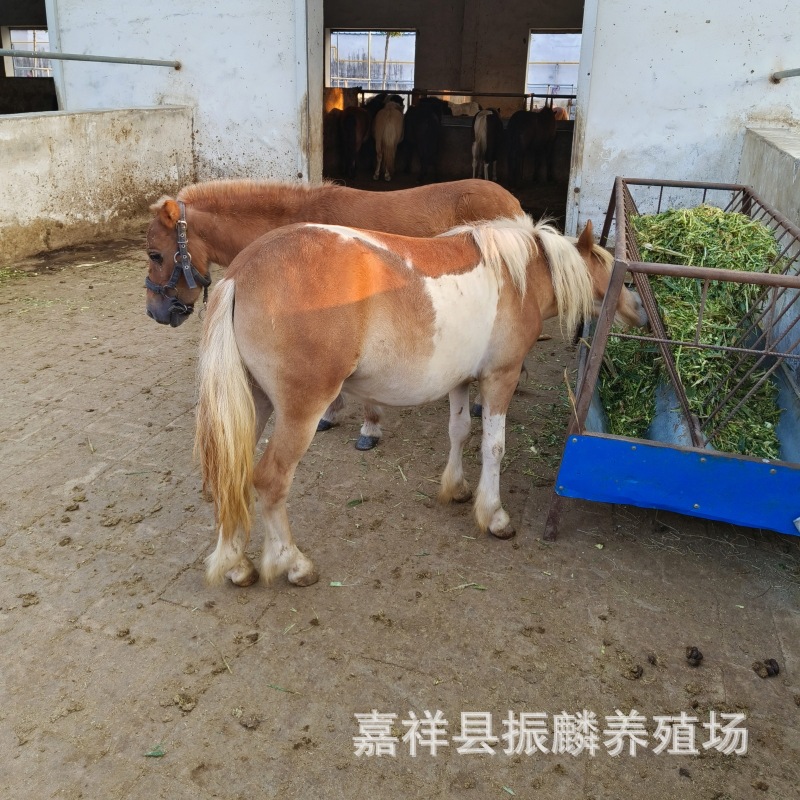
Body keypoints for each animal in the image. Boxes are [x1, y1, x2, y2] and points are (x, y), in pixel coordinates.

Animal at [193, 215, 648, 588]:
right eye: (609, 267)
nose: (640, 308)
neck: (518, 275)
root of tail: (240, 274)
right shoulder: (500, 378)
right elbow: (494, 447)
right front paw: (494, 515)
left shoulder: (460, 381)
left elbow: (460, 431)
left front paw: (458, 488)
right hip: (299, 412)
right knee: (270, 481)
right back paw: (293, 564)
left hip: (256, 404)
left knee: (229, 474)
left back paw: (236, 565)